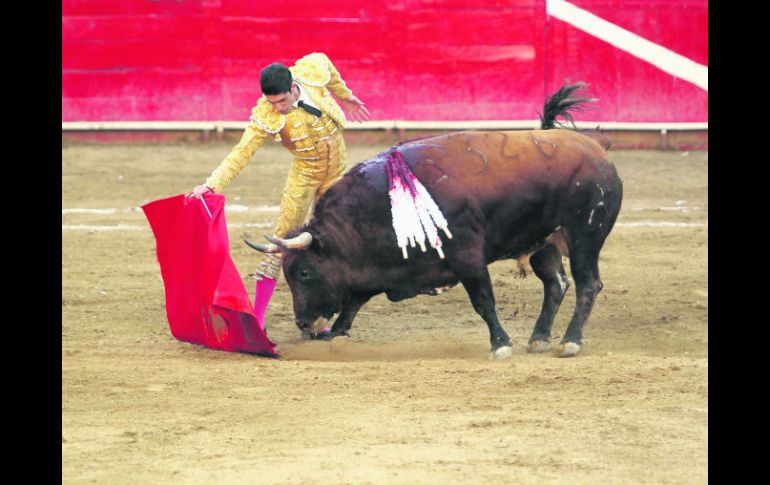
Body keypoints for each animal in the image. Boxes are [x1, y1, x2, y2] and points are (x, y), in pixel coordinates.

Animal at [249, 82, 620, 356]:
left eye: (304, 272)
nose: (302, 323)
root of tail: (597, 152)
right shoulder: (374, 268)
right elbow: (354, 301)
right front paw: (336, 335)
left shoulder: (467, 255)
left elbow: (483, 300)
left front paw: (500, 344)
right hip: (544, 242)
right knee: (556, 284)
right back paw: (539, 338)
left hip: (584, 235)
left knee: (588, 284)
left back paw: (570, 341)